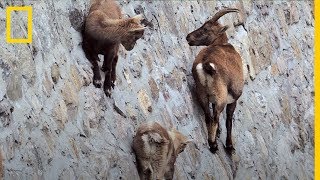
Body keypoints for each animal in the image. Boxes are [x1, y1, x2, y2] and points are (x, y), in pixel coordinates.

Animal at [186, 7, 244, 153]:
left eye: (206, 28)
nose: (188, 37)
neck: (222, 44)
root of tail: (206, 64)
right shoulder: (233, 99)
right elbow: (229, 120)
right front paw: (229, 145)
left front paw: (218, 133)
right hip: (220, 96)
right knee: (216, 116)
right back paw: (213, 145)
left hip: (202, 92)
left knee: (208, 116)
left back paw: (212, 141)